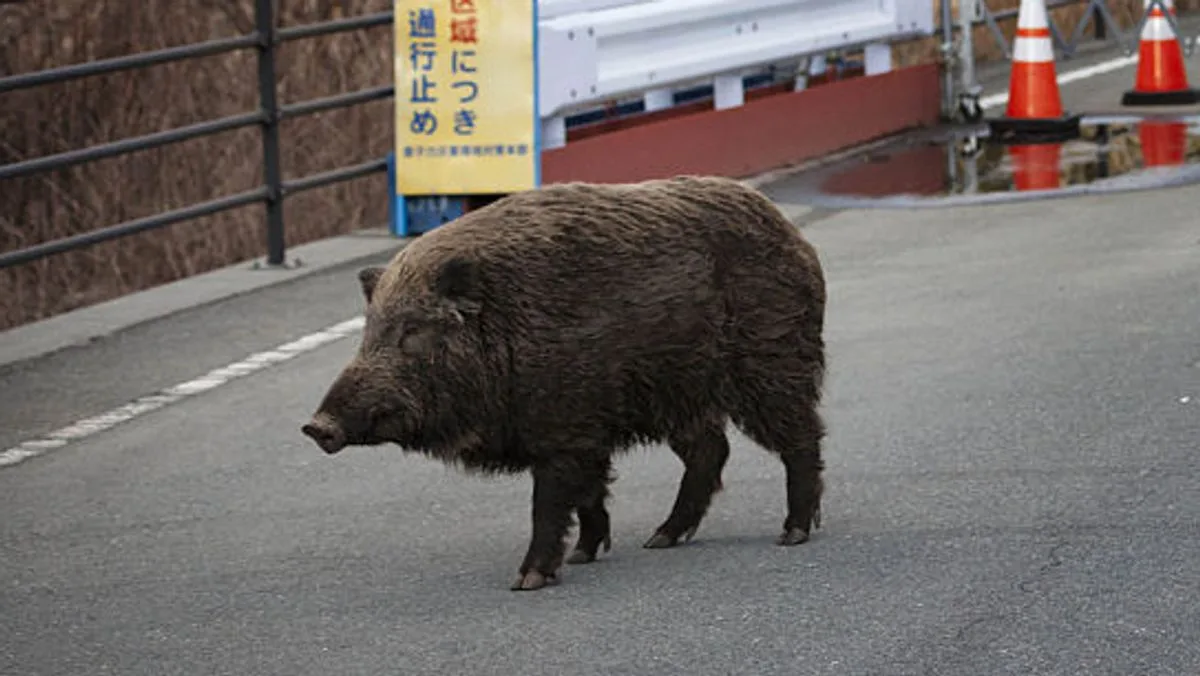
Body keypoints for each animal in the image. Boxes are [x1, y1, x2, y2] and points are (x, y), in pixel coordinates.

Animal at [301, 175, 827, 592]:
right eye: (368, 333)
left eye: (412, 331)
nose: (316, 426)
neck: (503, 333)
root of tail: (791, 232)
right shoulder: (585, 433)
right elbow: (590, 495)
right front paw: (582, 556)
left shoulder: (564, 429)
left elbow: (550, 503)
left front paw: (527, 581)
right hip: (680, 396)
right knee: (711, 450)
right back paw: (660, 539)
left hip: (772, 361)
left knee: (802, 438)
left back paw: (792, 534)